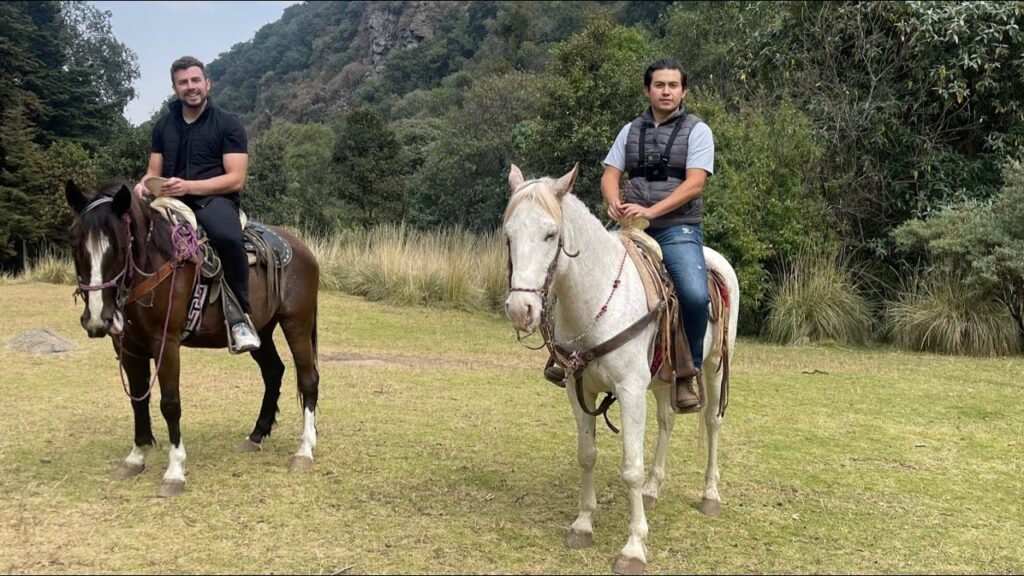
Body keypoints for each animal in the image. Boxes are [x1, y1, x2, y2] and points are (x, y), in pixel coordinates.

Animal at [65, 181, 319, 496]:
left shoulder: (166, 343)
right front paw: (137, 456)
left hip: (297, 323)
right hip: (262, 331)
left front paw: (174, 471)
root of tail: (302, 248)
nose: (98, 319)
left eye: (121, 246)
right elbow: (138, 399)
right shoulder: (129, 348)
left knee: (308, 379)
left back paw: (304, 450)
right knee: (274, 372)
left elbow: (170, 403)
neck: (156, 262)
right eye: (75, 244)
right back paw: (256, 435)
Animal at [505, 163, 741, 569]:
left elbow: (630, 468)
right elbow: (587, 456)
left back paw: (710, 494)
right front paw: (583, 524)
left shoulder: (630, 390)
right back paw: (653, 488)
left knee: (712, 421)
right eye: (508, 236)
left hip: (714, 366)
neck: (597, 298)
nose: (522, 310)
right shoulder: (578, 389)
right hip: (663, 378)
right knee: (667, 419)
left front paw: (633, 547)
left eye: (551, 234)